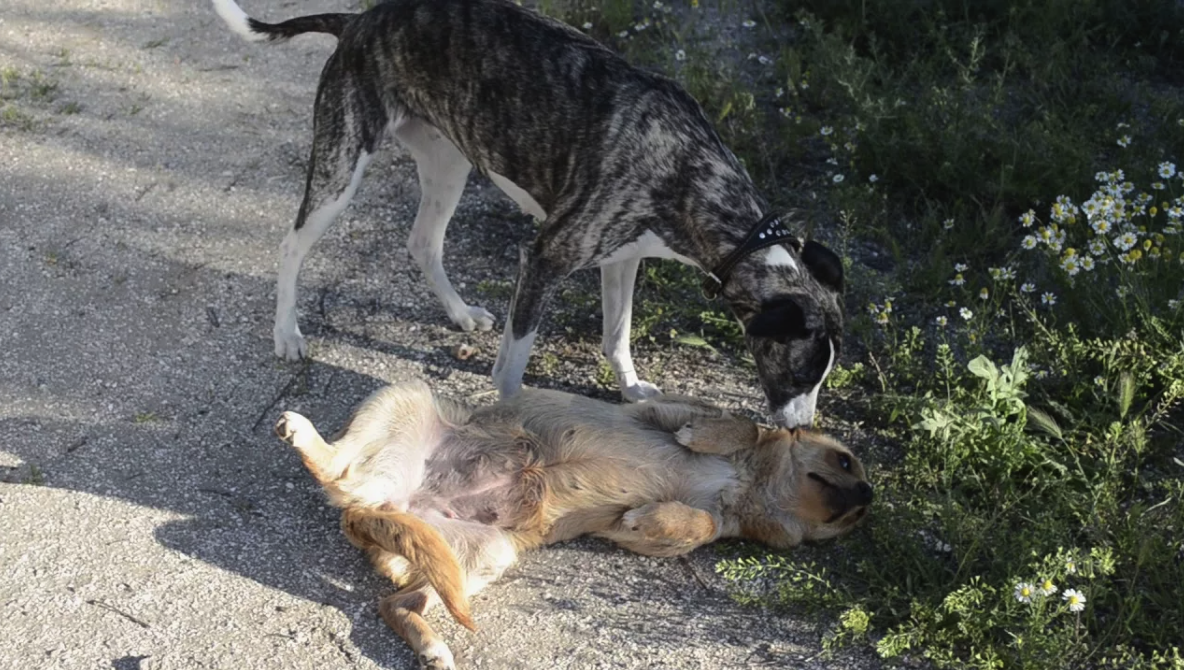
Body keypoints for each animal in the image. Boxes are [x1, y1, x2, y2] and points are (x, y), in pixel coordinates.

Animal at [274, 383, 871, 670]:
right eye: (846, 462)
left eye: (857, 514)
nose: (867, 498)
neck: (748, 484)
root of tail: (385, 504)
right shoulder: (664, 408)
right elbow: (743, 424)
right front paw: (707, 437)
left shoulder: (702, 522)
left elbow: (699, 523)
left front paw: (653, 517)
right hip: (406, 397)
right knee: (337, 469)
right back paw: (306, 438)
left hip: (484, 553)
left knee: (393, 601)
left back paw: (433, 648)